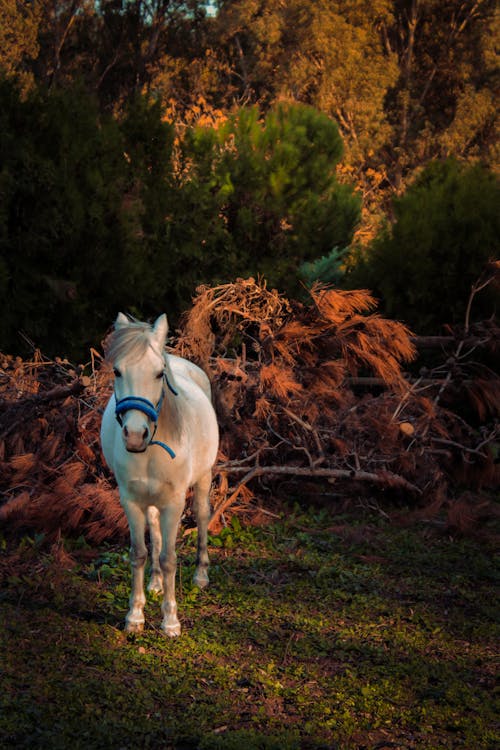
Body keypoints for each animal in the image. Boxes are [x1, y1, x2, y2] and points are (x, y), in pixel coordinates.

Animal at [100, 314, 219, 636]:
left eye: (158, 374)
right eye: (117, 371)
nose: (135, 435)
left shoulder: (174, 503)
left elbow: (169, 558)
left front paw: (171, 621)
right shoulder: (130, 501)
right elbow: (139, 553)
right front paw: (135, 616)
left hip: (203, 478)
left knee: (202, 515)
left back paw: (201, 575)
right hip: (150, 500)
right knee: (154, 530)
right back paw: (154, 583)